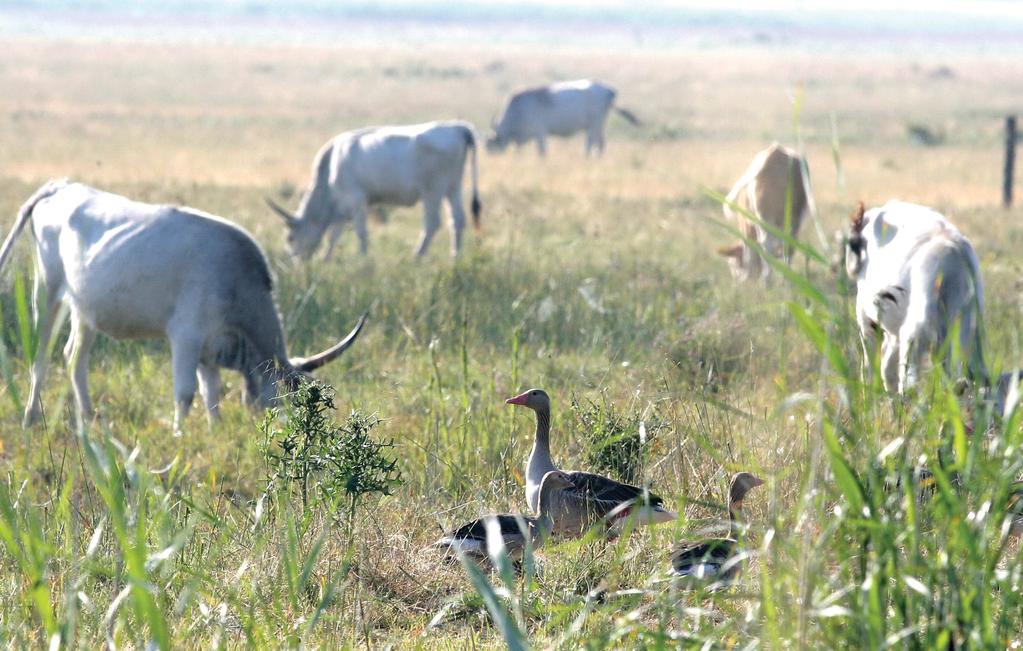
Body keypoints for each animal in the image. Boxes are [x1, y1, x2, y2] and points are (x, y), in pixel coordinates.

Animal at [0, 180, 366, 434]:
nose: (284, 433)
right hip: (45, 292)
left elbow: (211, 393)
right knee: (41, 356)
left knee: (75, 358)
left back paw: (88, 418)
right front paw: (180, 435)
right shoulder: (186, 336)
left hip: (84, 310)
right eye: (278, 401)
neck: (235, 279)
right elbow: (186, 393)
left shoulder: (210, 349)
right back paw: (31, 417)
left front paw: (214, 430)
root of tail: (61, 186)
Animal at [482, 79, 634, 156]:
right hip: (599, 125)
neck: (518, 109)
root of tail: (609, 91)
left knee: (590, 142)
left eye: (491, 147)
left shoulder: (540, 133)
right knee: (601, 143)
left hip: (594, 124)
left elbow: (542, 151)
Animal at [716, 142, 810, 280]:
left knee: (765, 244)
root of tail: (775, 152)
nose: (740, 281)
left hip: (764, 218)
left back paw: (767, 279)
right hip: (793, 218)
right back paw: (786, 279)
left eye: (734, 264)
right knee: (789, 245)